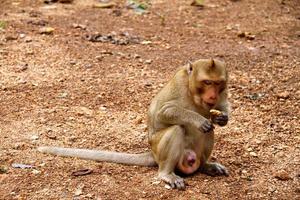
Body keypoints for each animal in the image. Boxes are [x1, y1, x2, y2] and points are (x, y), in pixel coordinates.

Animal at [37, 57, 230, 189]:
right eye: (207, 82)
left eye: (218, 83)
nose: (212, 95)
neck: (193, 92)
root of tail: (152, 154)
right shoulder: (179, 84)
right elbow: (163, 112)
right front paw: (199, 120)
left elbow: (222, 106)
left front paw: (223, 117)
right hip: (160, 150)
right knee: (177, 129)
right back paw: (167, 174)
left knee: (210, 131)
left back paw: (206, 165)